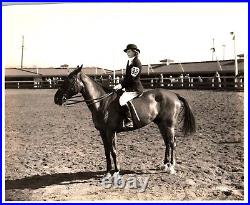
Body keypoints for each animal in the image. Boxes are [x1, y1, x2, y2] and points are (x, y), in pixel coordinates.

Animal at [53, 65, 196, 177]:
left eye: (70, 80)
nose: (56, 98)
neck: (102, 103)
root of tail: (175, 95)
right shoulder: (103, 132)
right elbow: (108, 151)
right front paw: (108, 171)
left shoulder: (110, 131)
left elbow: (113, 151)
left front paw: (116, 172)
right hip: (161, 124)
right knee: (167, 143)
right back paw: (165, 165)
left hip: (169, 125)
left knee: (172, 143)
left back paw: (171, 167)